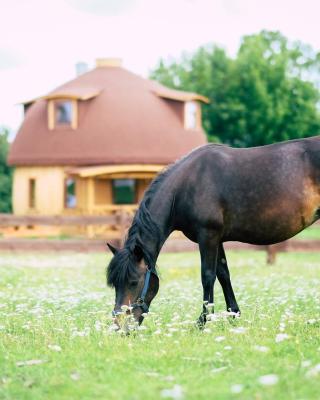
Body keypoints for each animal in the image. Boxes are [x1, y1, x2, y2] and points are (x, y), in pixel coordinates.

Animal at [107, 136, 320, 326]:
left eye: (133, 282)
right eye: (115, 284)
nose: (120, 326)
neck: (186, 186)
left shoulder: (208, 235)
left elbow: (207, 276)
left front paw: (203, 320)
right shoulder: (217, 239)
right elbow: (223, 274)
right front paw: (233, 315)